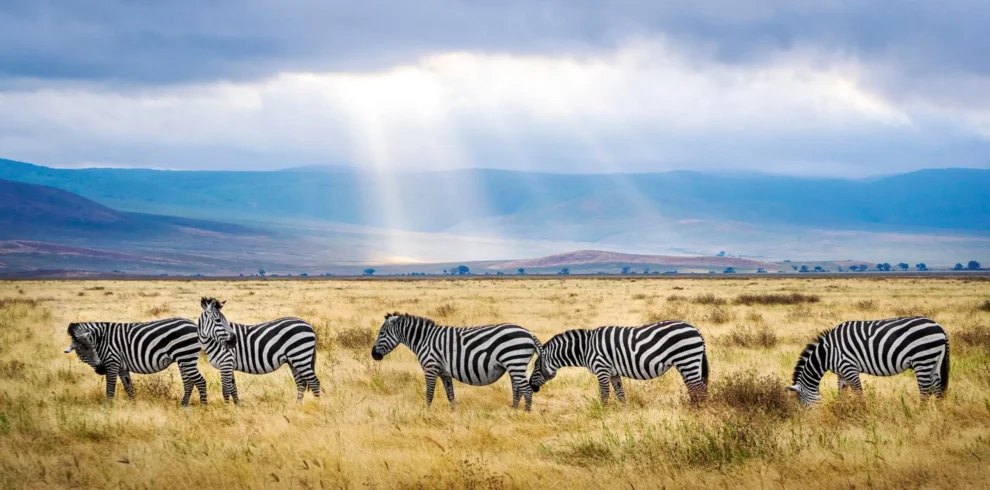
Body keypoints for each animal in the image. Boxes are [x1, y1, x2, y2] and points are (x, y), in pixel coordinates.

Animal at [63, 318, 207, 406]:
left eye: (93, 348)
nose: (101, 369)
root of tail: (194, 324)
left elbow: (110, 390)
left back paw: (203, 407)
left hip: (186, 357)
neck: (102, 340)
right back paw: (183, 406)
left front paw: (107, 409)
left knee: (200, 381)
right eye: (82, 353)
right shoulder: (121, 367)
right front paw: (133, 406)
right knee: (189, 382)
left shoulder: (112, 362)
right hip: (183, 359)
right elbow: (129, 387)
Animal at [371, 312, 542, 411]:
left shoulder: (431, 367)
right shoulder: (444, 373)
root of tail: (528, 333)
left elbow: (429, 393)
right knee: (517, 389)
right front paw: (453, 413)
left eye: (382, 333)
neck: (424, 340)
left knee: (527, 390)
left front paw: (426, 412)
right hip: (514, 365)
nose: (373, 355)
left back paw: (525, 414)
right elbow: (450, 394)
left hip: (514, 362)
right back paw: (512, 411)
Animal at [528, 321, 709, 405]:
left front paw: (603, 414)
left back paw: (699, 411)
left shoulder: (602, 369)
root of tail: (696, 330)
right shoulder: (614, 373)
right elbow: (621, 395)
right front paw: (624, 414)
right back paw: (693, 408)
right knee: (694, 388)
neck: (585, 349)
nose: (531, 386)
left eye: (536, 366)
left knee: (699, 388)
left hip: (687, 359)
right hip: (686, 363)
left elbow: (604, 395)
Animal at [788, 316, 949, 405]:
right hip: (933, 361)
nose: (808, 421)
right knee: (937, 388)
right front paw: (841, 410)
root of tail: (940, 327)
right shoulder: (841, 372)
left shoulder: (849, 367)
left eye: (802, 403)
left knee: (925, 391)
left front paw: (862, 413)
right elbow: (842, 393)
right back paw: (939, 414)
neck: (827, 353)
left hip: (922, 359)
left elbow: (859, 393)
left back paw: (919, 415)